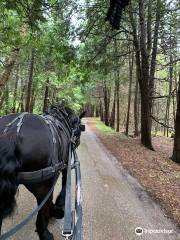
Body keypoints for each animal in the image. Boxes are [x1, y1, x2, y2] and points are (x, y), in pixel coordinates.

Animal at [0, 104, 85, 240]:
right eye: (79, 127)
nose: (78, 142)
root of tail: (12, 132)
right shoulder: (65, 164)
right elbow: (65, 184)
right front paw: (57, 207)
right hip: (43, 187)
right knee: (42, 212)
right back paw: (46, 233)